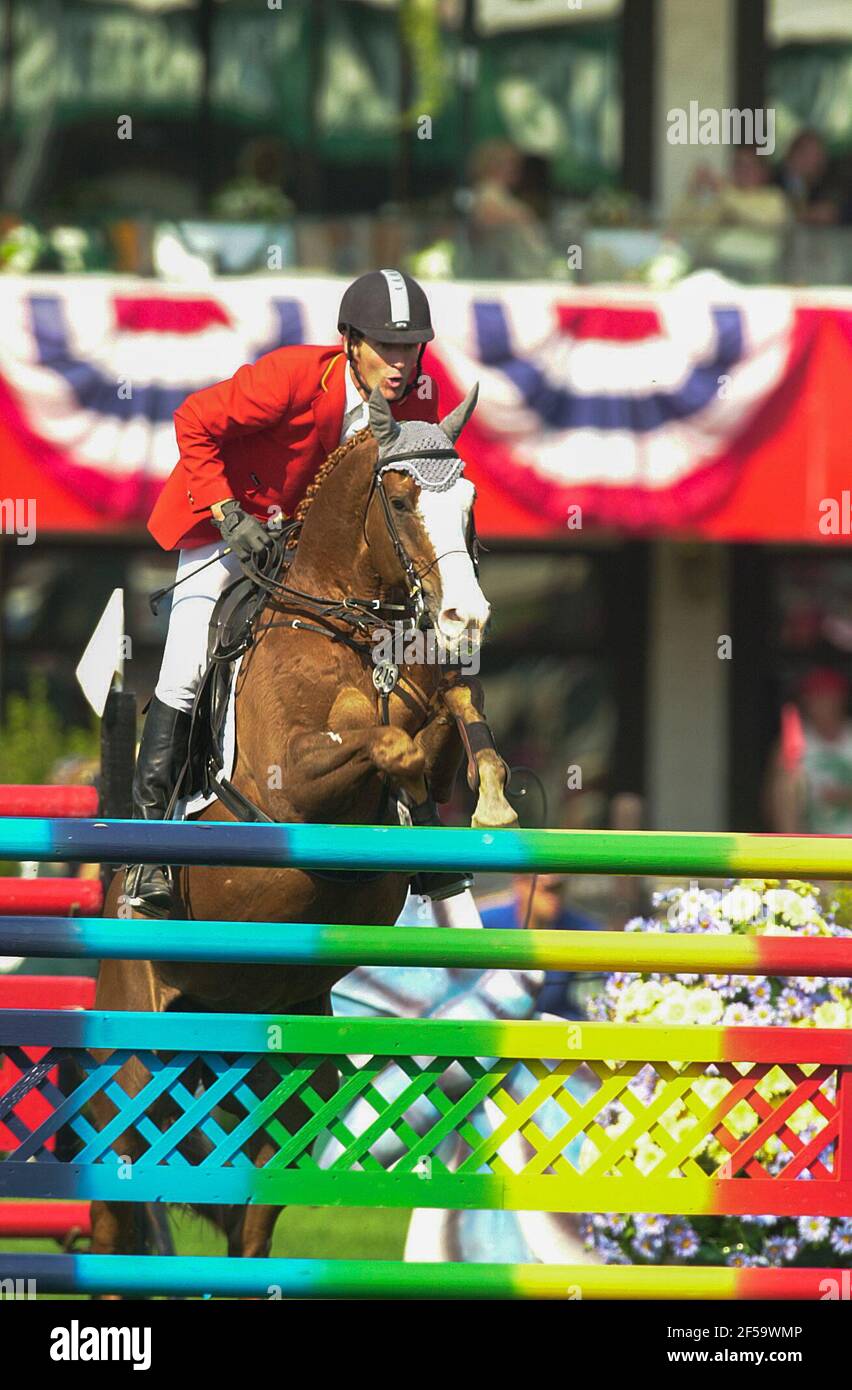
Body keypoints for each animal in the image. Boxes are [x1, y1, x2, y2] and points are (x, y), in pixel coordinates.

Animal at [91, 380, 517, 1273]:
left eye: (468, 505)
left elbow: (456, 717)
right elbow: (384, 742)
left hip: (284, 1088)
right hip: (127, 1073)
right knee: (113, 1214)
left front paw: (481, 797)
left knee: (250, 1225)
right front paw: (413, 763)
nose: (465, 620)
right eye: (401, 499)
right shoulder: (294, 790)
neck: (349, 625)